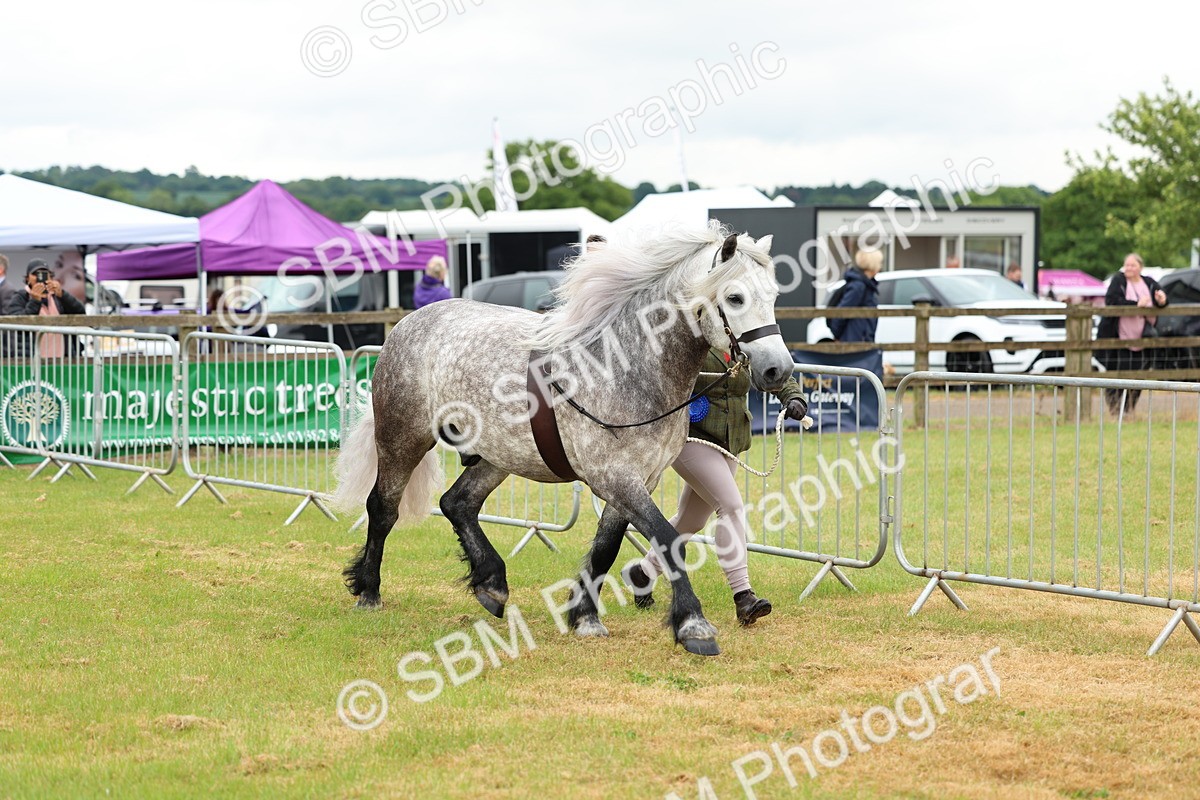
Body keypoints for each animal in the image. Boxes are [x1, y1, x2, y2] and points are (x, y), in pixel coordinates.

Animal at [333, 222, 794, 656]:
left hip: (498, 455)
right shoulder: (614, 477)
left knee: (457, 503)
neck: (625, 365)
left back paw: (491, 584)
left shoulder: (637, 481)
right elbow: (667, 539)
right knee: (383, 507)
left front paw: (585, 617)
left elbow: (607, 548)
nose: (778, 371)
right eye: (734, 298)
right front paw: (693, 626)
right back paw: (369, 591)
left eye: (772, 295)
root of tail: (409, 323)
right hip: (402, 438)